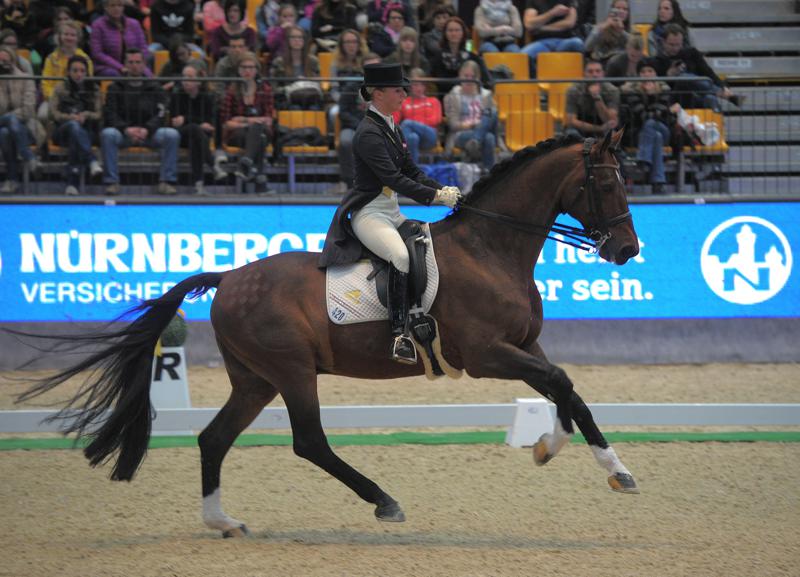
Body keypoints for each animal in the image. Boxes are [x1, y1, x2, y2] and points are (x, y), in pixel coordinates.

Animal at [17, 130, 644, 536]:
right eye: (607, 183)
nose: (626, 250)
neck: (489, 249)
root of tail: (229, 277)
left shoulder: (524, 345)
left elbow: (565, 391)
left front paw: (562, 451)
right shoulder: (488, 354)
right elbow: (560, 383)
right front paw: (602, 465)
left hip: (255, 379)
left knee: (214, 438)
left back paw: (222, 520)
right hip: (292, 370)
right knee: (308, 441)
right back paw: (384, 502)